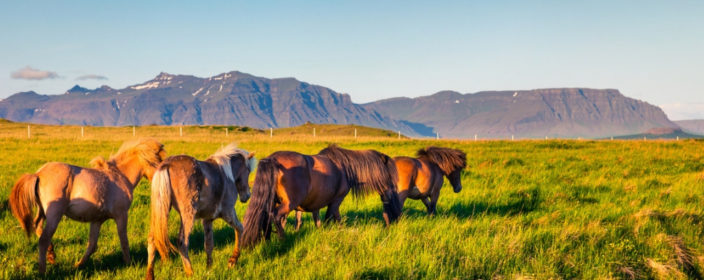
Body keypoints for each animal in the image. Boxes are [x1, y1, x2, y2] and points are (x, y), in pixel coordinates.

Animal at [8, 138, 166, 274]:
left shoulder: (97, 220)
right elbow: (124, 240)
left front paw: (78, 265)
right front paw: (129, 263)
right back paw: (43, 270)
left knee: (37, 227)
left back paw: (51, 255)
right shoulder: (121, 215)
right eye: (158, 160)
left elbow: (92, 245)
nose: (160, 180)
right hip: (54, 215)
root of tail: (38, 174)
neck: (120, 176)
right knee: (43, 240)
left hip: (42, 212)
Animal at [145, 143, 256, 278]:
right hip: (188, 215)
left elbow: (208, 244)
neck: (226, 174)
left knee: (152, 239)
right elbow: (240, 229)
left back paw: (150, 274)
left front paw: (209, 268)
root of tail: (166, 165)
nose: (247, 196)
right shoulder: (228, 213)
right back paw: (190, 272)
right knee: (182, 242)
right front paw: (232, 261)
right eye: (248, 170)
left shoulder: (207, 219)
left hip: (161, 211)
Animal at [241, 145, 402, 248]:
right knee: (274, 216)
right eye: (390, 177)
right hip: (287, 204)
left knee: (266, 217)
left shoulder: (316, 205)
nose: (394, 217)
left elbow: (318, 221)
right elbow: (332, 219)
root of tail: (273, 159)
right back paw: (282, 240)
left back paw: (267, 240)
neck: (345, 168)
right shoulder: (335, 201)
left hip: (272, 201)